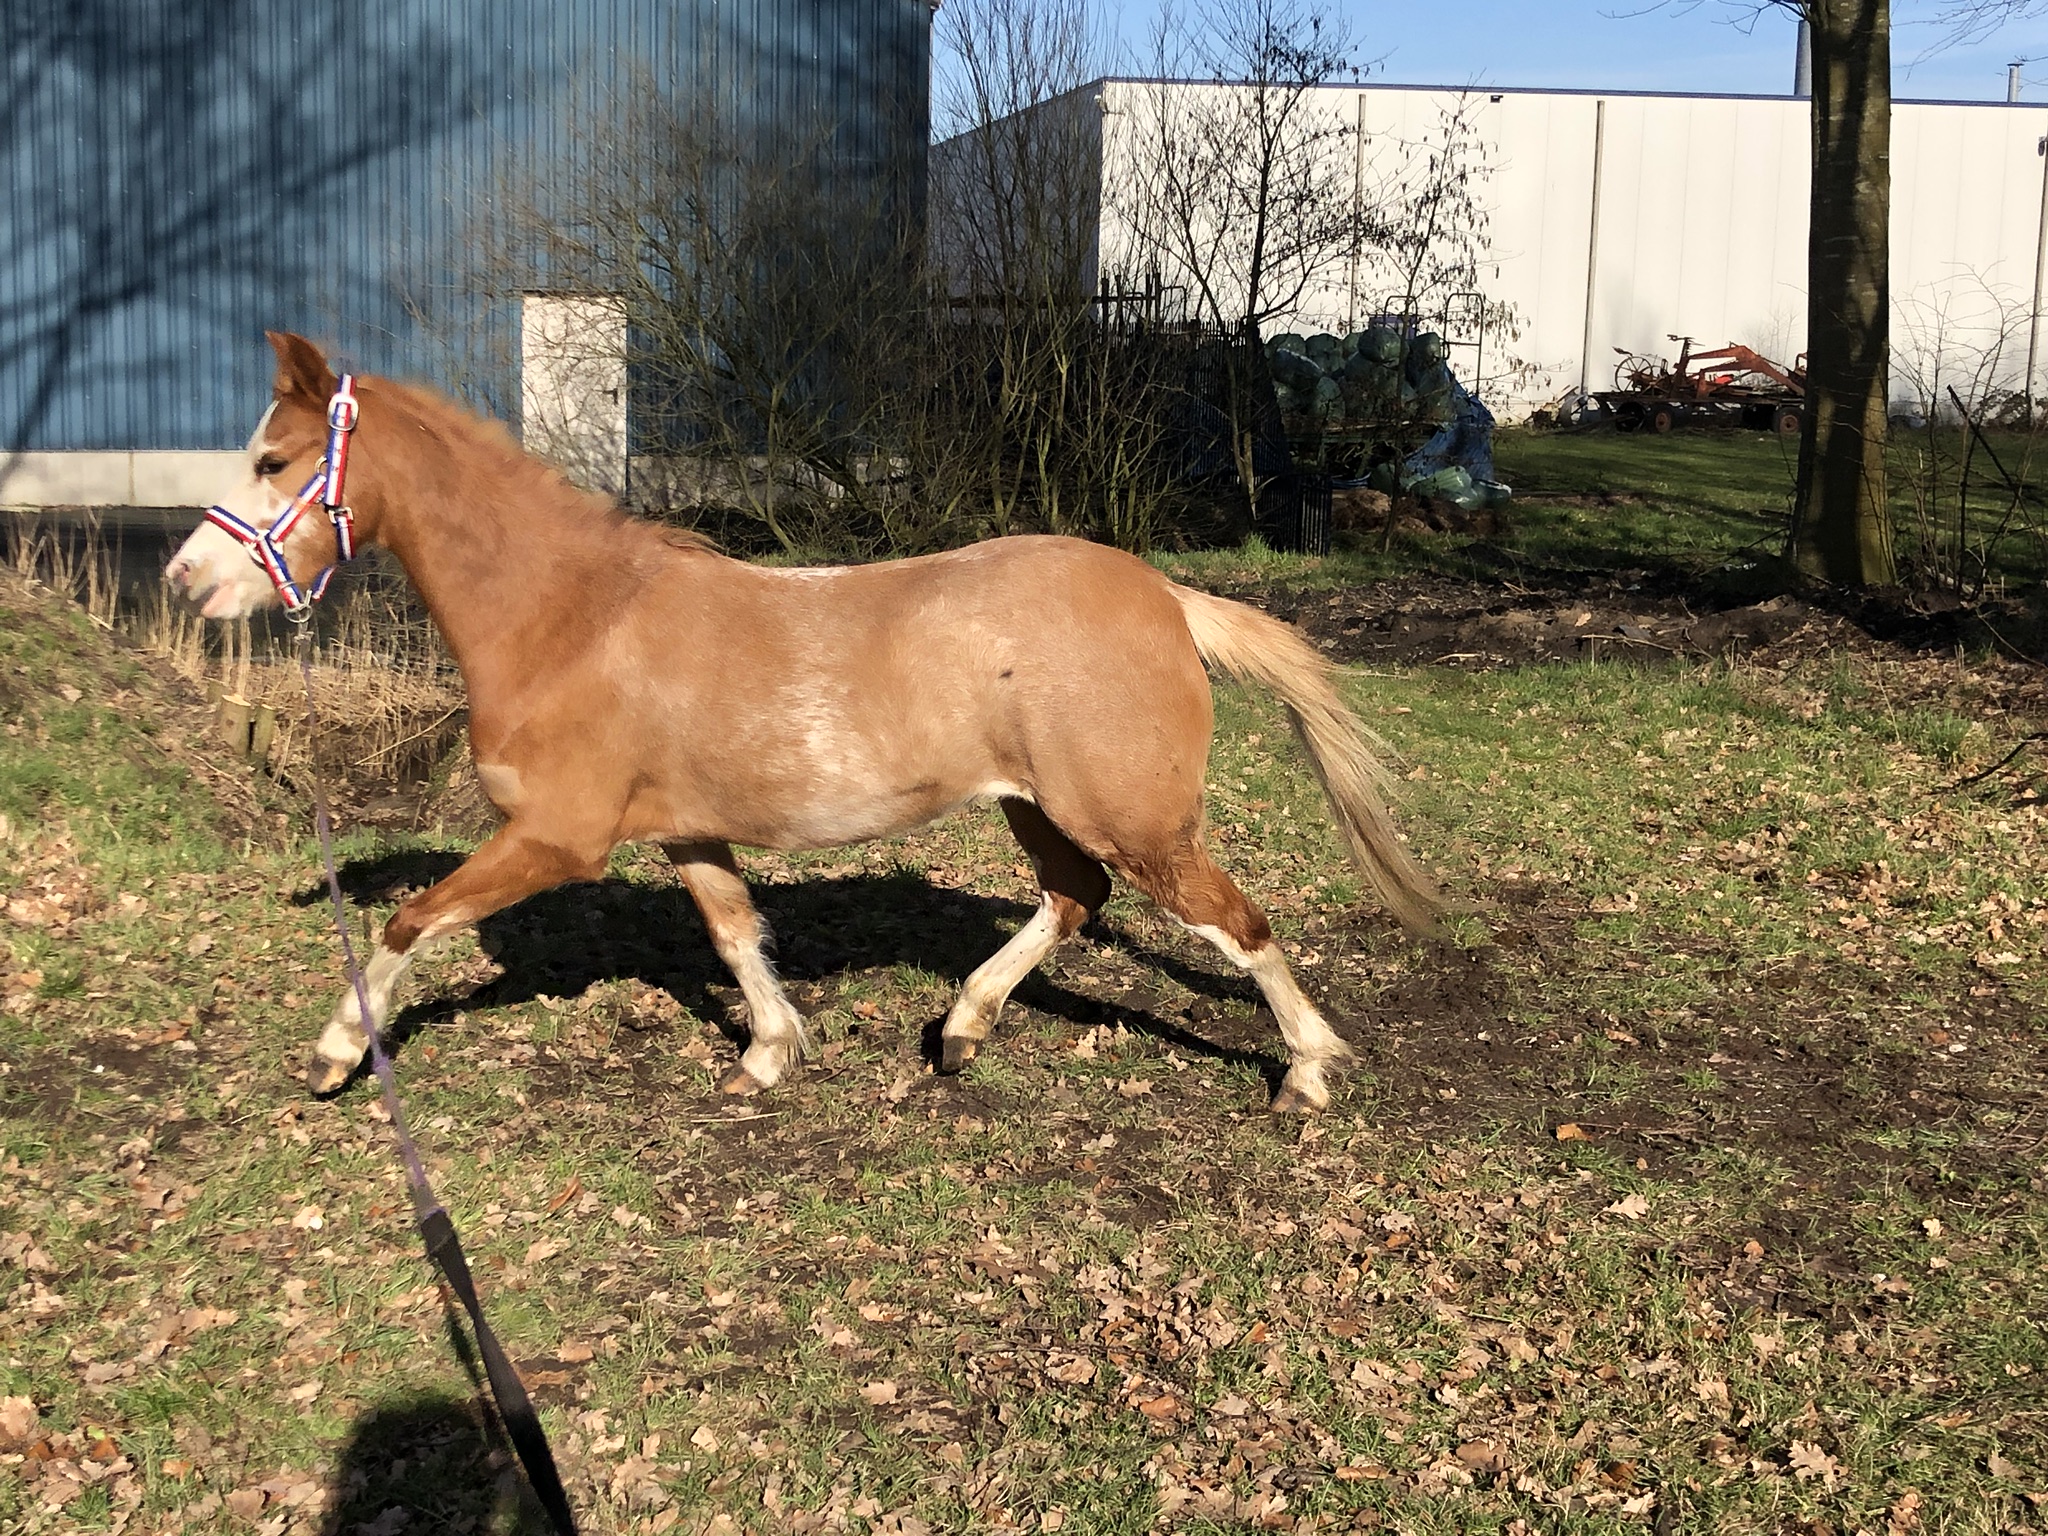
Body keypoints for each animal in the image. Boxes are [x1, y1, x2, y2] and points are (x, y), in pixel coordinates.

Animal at [167, 331, 1441, 1114]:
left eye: (273, 459)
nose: (185, 582)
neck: (570, 617)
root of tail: (1164, 597)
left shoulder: (555, 841)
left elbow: (408, 923)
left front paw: (336, 1053)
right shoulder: (685, 831)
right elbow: (735, 935)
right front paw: (770, 1054)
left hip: (1132, 817)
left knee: (1235, 923)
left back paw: (1306, 1074)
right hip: (1037, 811)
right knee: (1075, 901)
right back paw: (961, 1027)